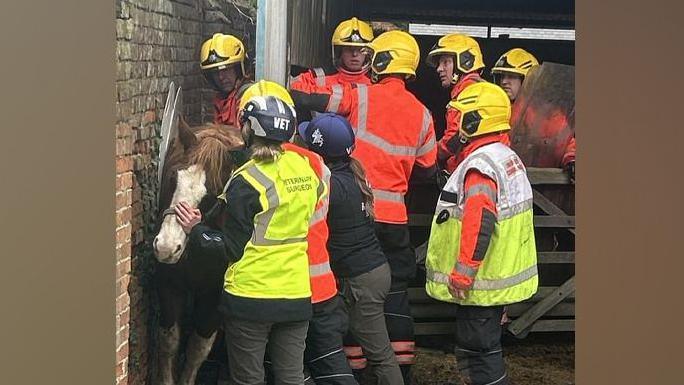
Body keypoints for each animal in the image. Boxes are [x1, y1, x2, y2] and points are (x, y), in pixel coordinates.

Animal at [153, 118, 246, 384]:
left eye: (212, 194)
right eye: (173, 178)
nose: (167, 247)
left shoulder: (214, 297)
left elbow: (198, 348)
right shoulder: (169, 284)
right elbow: (169, 341)